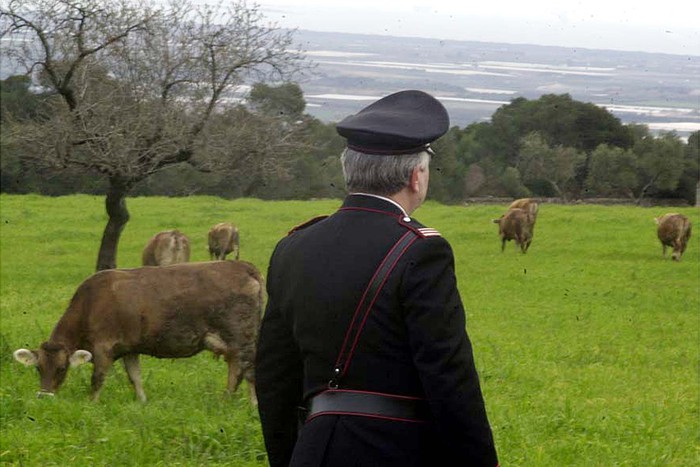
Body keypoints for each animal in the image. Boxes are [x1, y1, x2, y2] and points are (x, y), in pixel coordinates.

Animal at [13, 262, 266, 404]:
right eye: (38, 368)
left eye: (62, 368)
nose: (44, 397)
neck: (90, 303)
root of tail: (242, 266)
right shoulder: (129, 348)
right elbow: (135, 377)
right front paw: (142, 402)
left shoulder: (103, 347)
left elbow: (97, 379)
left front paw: (91, 405)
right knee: (235, 369)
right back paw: (226, 400)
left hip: (242, 336)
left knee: (249, 370)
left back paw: (252, 405)